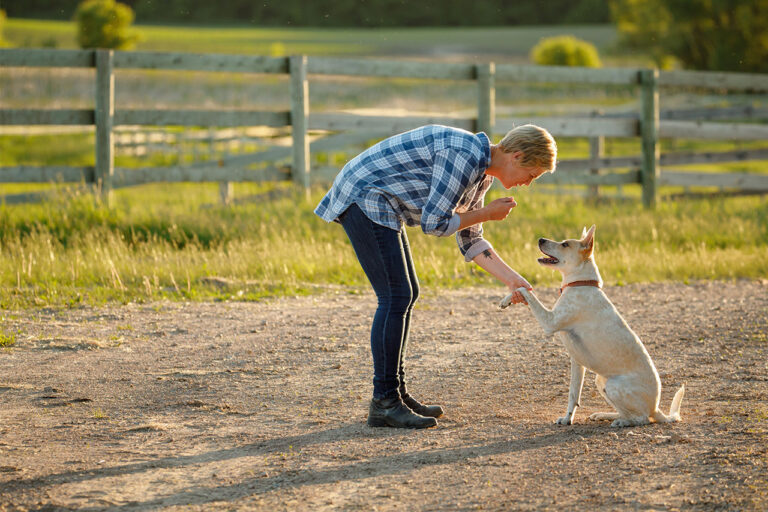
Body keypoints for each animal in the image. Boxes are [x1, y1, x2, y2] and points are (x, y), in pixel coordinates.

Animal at [504, 225, 684, 428]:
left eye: (565, 244)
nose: (540, 239)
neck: (580, 283)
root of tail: (657, 409)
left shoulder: (549, 321)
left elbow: (526, 292)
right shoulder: (577, 362)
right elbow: (573, 394)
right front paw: (567, 419)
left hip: (614, 385)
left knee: (642, 418)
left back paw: (621, 422)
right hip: (601, 381)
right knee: (627, 412)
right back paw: (605, 415)